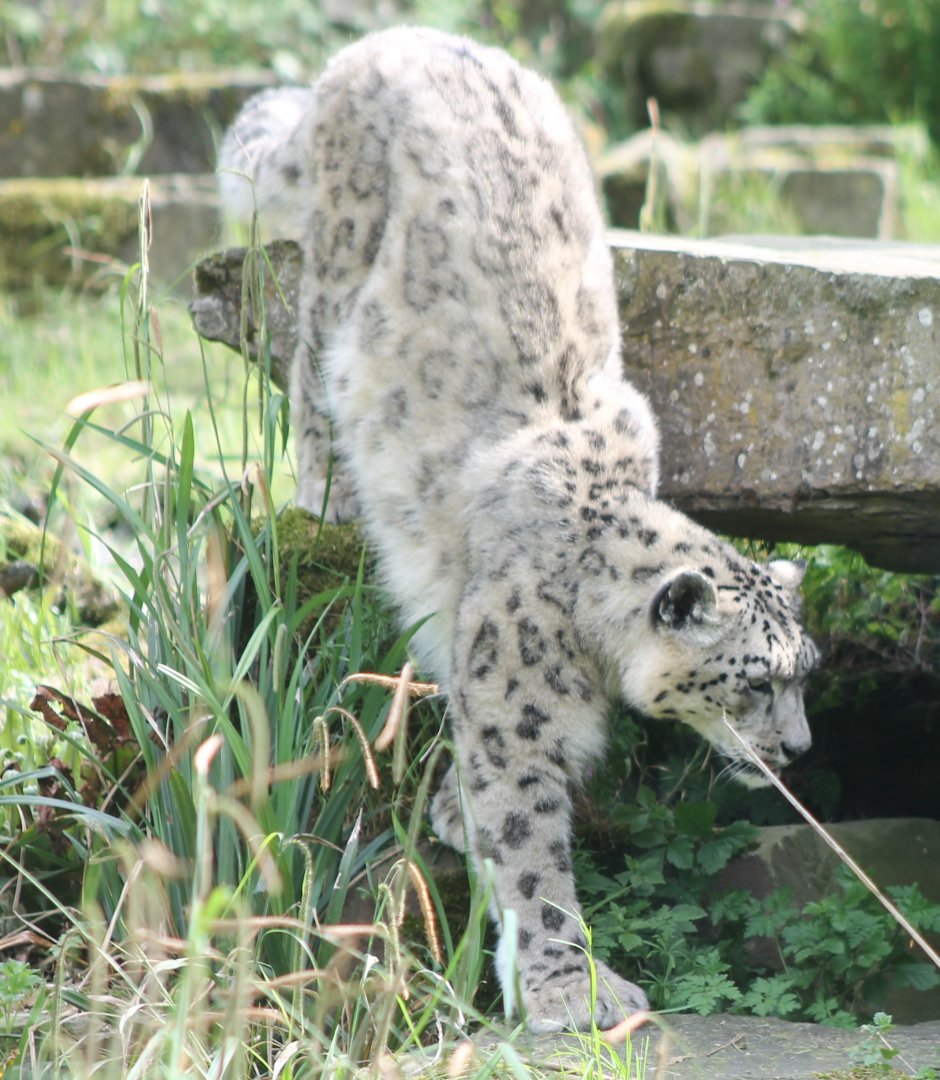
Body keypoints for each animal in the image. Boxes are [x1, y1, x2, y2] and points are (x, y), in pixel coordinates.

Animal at [218, 26, 819, 1034]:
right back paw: (326, 493)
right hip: (340, 260)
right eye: (753, 682)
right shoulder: (517, 706)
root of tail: (385, 39)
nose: (800, 750)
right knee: (307, 365)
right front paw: (571, 989)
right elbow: (532, 847)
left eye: (805, 672)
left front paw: (451, 815)